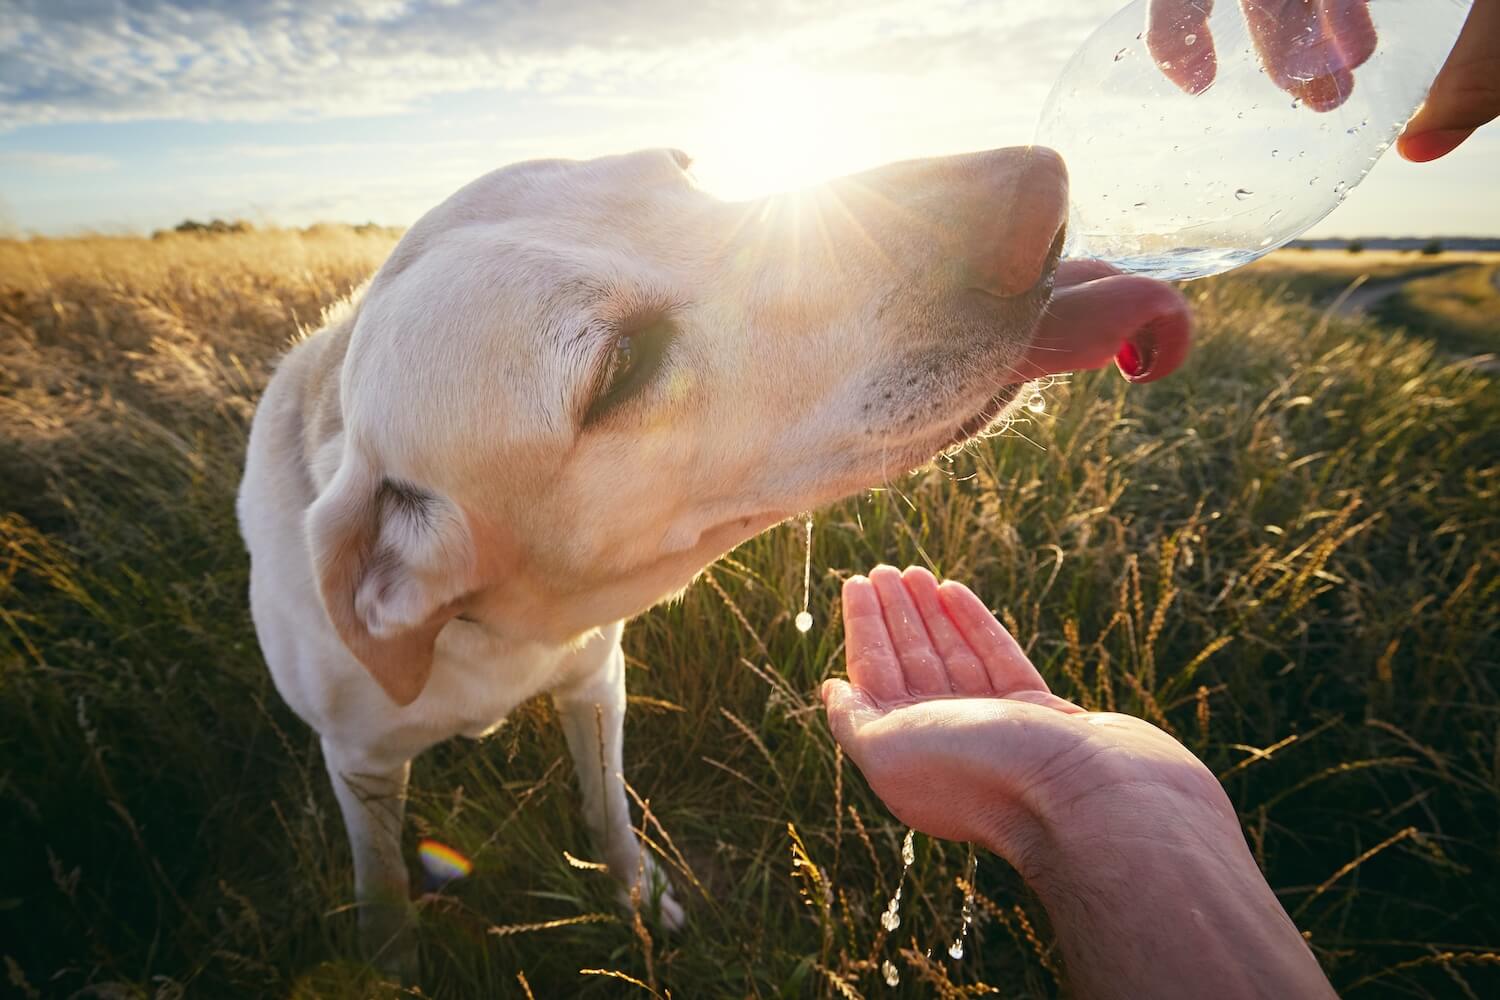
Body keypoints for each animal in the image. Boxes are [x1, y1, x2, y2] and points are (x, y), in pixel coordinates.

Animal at [240, 144, 1188, 965]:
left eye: (684, 171)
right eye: (621, 366)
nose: (1043, 189)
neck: (488, 632)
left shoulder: (596, 684)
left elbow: (608, 809)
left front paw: (638, 895)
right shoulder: (360, 763)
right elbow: (383, 877)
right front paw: (389, 959)